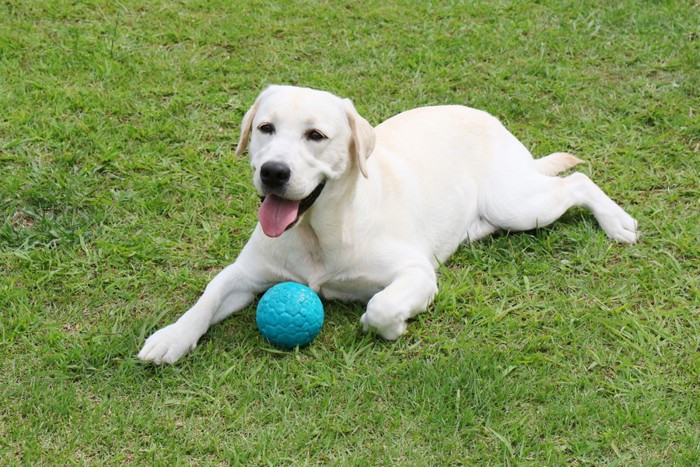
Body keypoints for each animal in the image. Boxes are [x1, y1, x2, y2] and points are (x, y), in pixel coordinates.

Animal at [138, 85, 640, 366]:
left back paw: (618, 222)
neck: (318, 233)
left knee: (576, 182)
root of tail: (488, 118)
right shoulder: (245, 274)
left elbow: (379, 306)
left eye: (315, 136)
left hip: (517, 205)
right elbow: (209, 294)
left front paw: (394, 324)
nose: (273, 172)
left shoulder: (415, 272)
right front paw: (172, 337)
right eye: (265, 128)